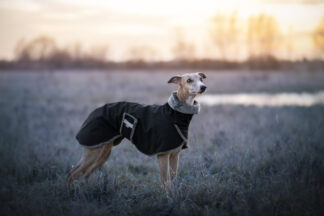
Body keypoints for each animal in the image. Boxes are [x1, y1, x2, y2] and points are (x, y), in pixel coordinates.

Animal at [67, 72, 206, 194]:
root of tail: (93, 112)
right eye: (189, 80)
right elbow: (165, 182)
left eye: (201, 79)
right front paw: (168, 199)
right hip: (94, 151)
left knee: (85, 174)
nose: (203, 87)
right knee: (72, 173)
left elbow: (173, 180)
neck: (174, 114)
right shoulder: (163, 155)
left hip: (103, 152)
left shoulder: (175, 156)